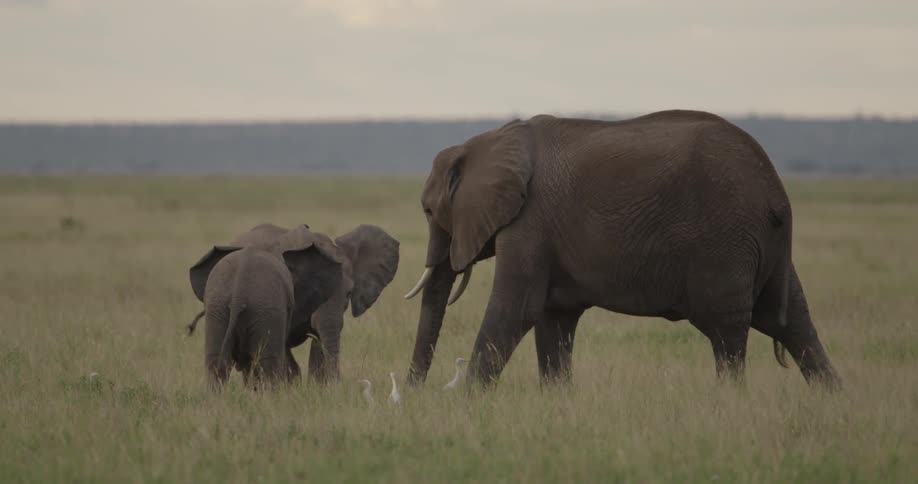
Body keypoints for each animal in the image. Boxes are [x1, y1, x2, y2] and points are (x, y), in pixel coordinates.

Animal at [403, 109, 841, 391]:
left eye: (428, 210)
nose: (412, 394)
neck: (490, 140)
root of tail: (777, 192)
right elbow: (553, 318)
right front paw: (558, 402)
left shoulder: (529, 223)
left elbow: (517, 309)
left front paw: (465, 401)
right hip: (760, 244)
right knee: (791, 321)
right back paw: (834, 400)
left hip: (725, 241)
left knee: (728, 331)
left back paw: (730, 402)